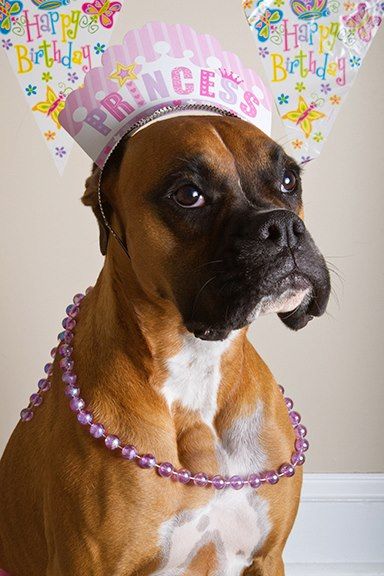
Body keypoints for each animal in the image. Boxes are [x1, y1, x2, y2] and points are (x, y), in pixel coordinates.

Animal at [0, 115, 330, 572]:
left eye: (288, 181)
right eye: (188, 195)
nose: (283, 226)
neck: (197, 365)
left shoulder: (268, 557)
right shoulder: (86, 564)